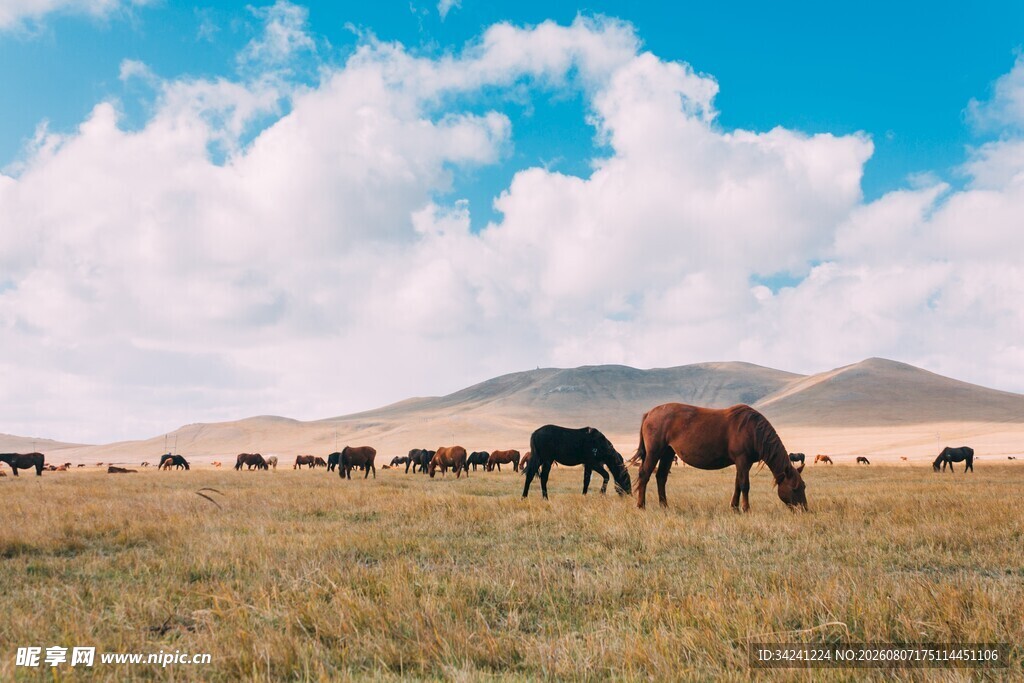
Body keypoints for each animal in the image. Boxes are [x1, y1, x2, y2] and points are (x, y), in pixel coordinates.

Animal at [634, 403, 807, 512]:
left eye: (804, 487)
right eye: (795, 488)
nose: (805, 509)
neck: (752, 430)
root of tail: (649, 413)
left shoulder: (743, 463)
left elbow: (737, 484)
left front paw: (735, 508)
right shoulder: (742, 460)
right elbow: (745, 485)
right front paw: (746, 509)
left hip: (668, 453)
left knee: (661, 476)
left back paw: (664, 506)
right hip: (655, 452)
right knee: (645, 475)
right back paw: (641, 506)